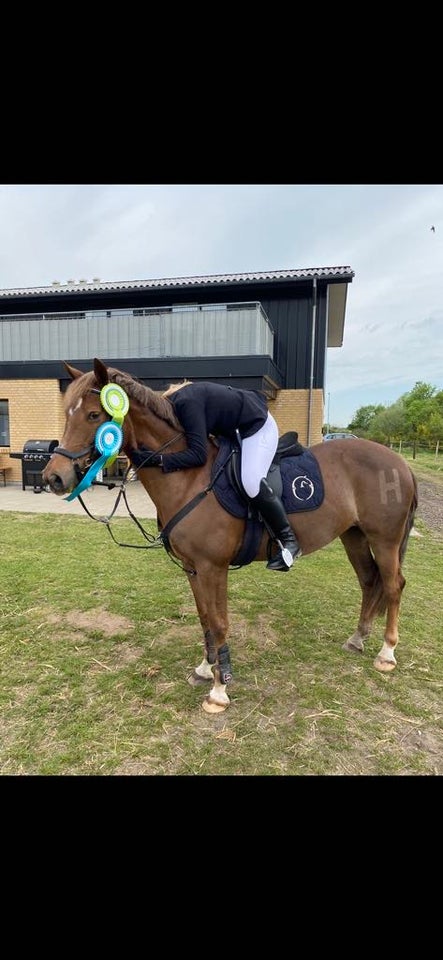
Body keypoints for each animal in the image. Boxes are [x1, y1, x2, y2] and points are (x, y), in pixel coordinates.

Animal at [42, 360, 420, 712]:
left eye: (94, 415)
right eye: (66, 413)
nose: (54, 478)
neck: (189, 477)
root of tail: (400, 462)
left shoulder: (214, 567)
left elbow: (220, 622)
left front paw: (219, 689)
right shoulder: (193, 569)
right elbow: (205, 620)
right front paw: (206, 669)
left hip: (384, 539)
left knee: (393, 586)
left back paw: (386, 653)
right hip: (354, 536)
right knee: (369, 581)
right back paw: (357, 639)